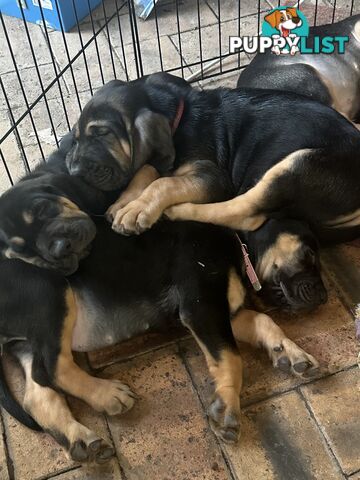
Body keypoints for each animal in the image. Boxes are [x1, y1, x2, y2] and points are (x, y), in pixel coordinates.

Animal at [0, 143, 320, 462]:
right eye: (309, 253)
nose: (323, 298)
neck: (235, 242)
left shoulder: (219, 310)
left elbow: (263, 321)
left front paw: (289, 352)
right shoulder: (201, 304)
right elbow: (231, 357)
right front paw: (227, 408)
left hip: (28, 340)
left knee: (36, 393)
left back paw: (82, 440)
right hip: (50, 293)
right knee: (51, 368)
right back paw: (108, 394)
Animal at [65, 72, 360, 244]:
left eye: (102, 133)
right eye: (76, 137)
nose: (74, 171)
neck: (179, 118)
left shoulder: (213, 175)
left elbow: (164, 183)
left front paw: (137, 208)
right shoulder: (163, 159)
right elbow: (146, 169)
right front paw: (125, 201)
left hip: (299, 164)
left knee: (244, 213)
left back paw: (178, 211)